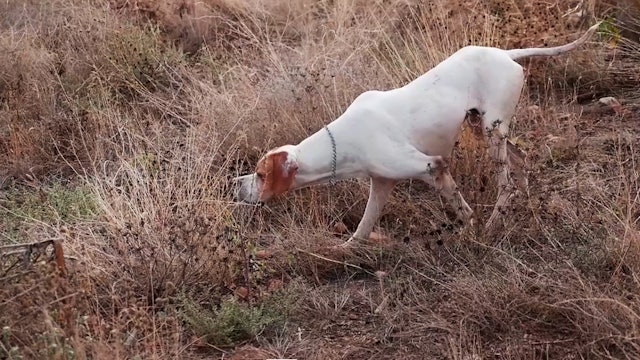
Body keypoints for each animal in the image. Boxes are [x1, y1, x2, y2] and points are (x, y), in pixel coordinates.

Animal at [234, 22, 600, 245]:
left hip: (491, 132)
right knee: (521, 161)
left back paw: (496, 221)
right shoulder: (381, 183)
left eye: (260, 174)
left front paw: (470, 234)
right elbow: (361, 230)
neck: (345, 140)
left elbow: (462, 211)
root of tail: (506, 53)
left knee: (506, 181)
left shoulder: (432, 166)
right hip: (483, 127)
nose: (235, 183)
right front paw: (343, 250)